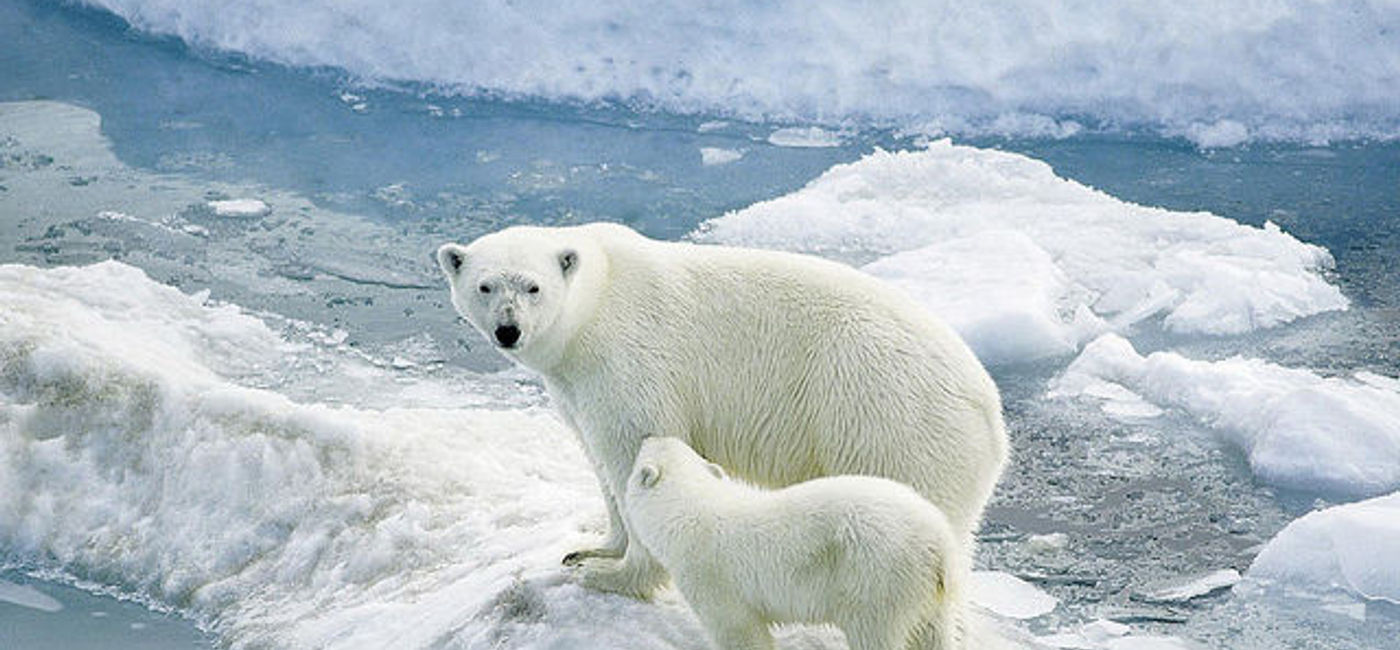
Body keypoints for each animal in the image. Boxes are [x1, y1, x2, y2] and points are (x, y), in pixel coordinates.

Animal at [436, 222, 1007, 599]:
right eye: (485, 285)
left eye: (533, 286)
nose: (508, 330)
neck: (596, 302)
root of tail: (992, 415)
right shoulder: (575, 385)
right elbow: (598, 461)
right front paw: (592, 549)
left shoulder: (628, 361)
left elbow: (633, 450)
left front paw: (613, 577)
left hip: (890, 422)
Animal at [625, 436, 964, 650]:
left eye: (646, 448)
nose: (647, 435)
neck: (690, 510)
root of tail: (939, 543)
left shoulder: (711, 575)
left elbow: (739, 631)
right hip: (926, 592)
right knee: (931, 633)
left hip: (876, 577)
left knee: (873, 631)